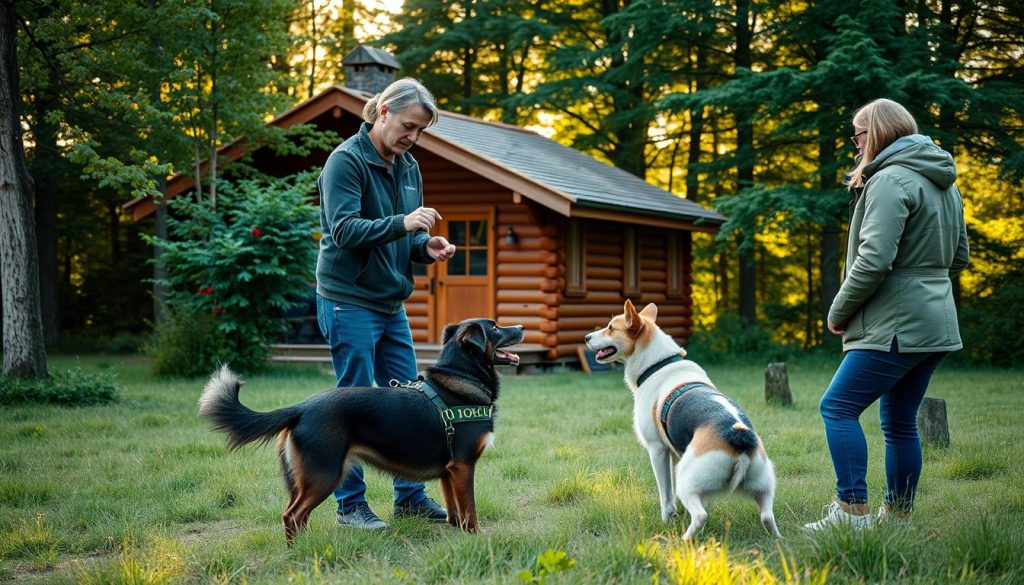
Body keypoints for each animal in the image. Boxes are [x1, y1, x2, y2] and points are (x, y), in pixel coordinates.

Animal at [196, 319, 524, 545]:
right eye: (495, 328)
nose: (521, 327)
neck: (460, 378)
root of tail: (302, 407)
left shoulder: (449, 471)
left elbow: (456, 513)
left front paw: (458, 534)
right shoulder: (464, 466)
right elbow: (470, 511)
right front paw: (477, 538)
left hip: (303, 478)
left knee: (295, 515)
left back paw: (303, 547)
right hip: (324, 474)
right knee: (292, 515)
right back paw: (298, 552)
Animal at [585, 301, 782, 540]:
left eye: (611, 327)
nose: (586, 337)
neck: (658, 364)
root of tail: (738, 434)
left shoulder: (657, 450)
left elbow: (666, 495)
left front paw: (667, 518)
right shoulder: (676, 453)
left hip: (688, 481)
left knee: (701, 515)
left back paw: (684, 540)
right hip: (763, 484)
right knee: (767, 516)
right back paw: (778, 540)